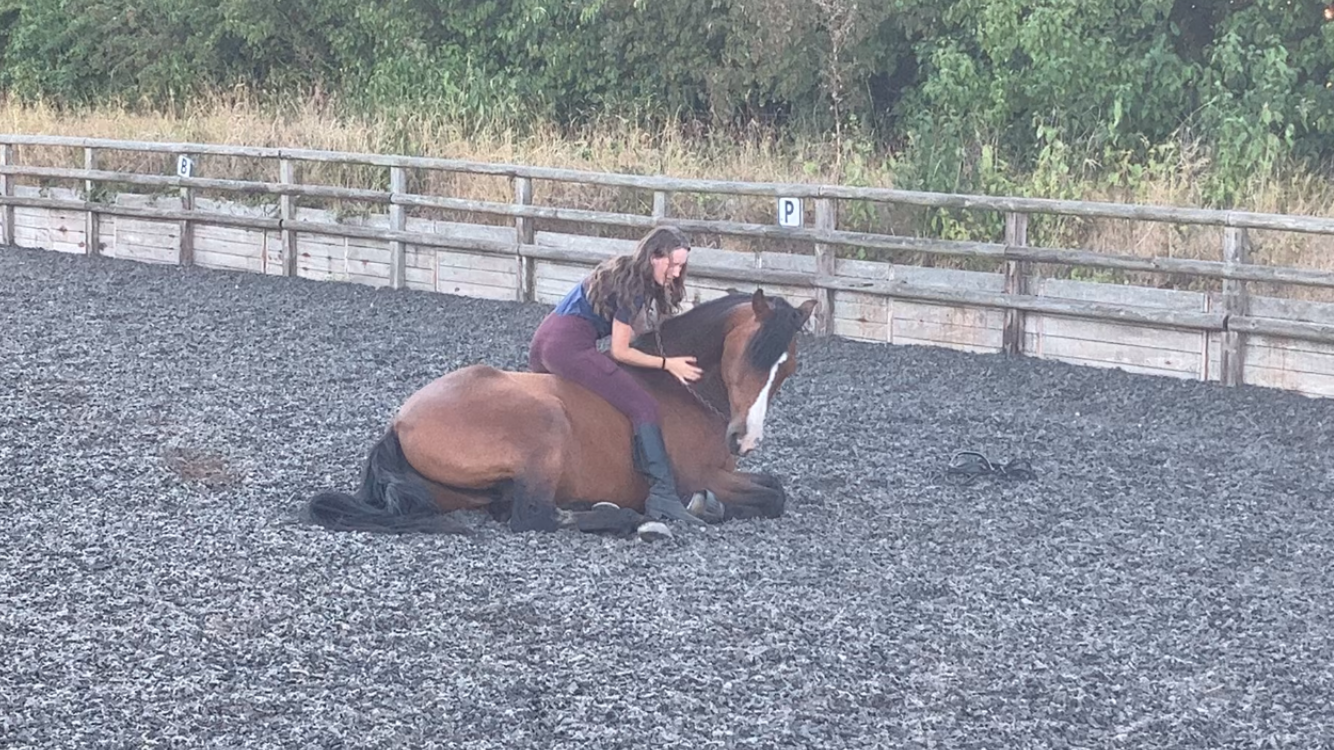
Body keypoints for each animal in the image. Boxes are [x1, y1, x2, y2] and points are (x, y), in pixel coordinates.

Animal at [303, 288, 818, 536]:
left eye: (787, 366)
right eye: (748, 355)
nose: (745, 439)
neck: (682, 389)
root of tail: (400, 420)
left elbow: (773, 487)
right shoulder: (701, 476)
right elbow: (771, 496)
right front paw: (702, 507)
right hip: (546, 425)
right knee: (532, 518)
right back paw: (625, 519)